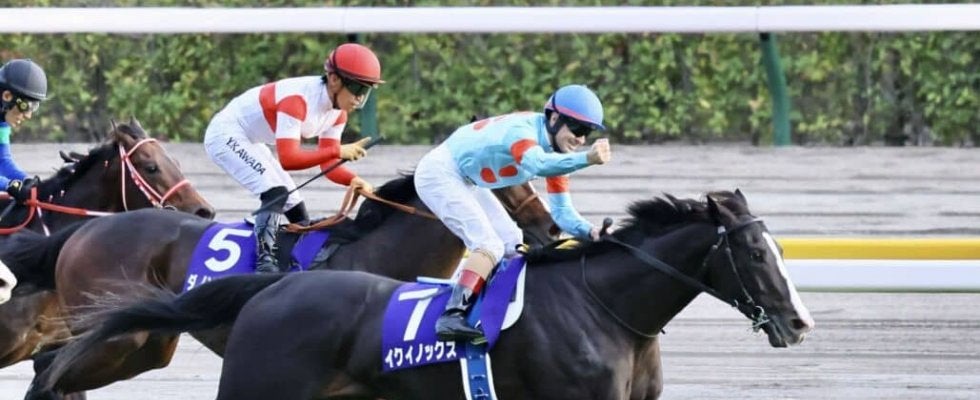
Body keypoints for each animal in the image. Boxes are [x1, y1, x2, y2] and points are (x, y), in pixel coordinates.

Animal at [5, 173, 555, 397]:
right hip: (117, 332)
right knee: (51, 367)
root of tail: (84, 230)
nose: (551, 228)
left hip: (147, 344)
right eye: (507, 180)